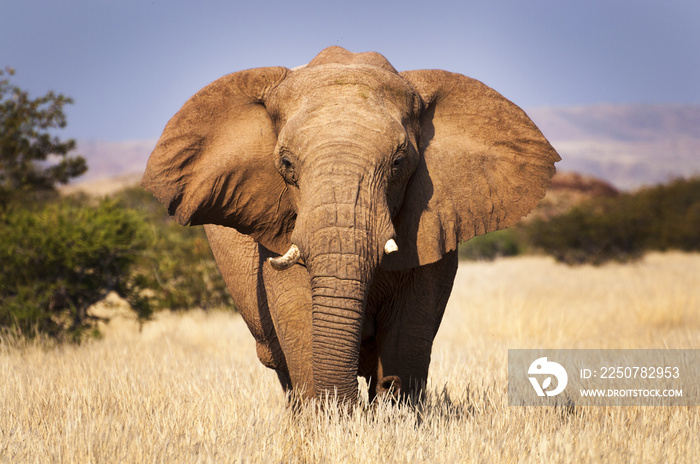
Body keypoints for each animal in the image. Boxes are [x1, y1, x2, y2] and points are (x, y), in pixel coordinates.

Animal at [139, 45, 560, 404]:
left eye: (399, 162)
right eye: (286, 164)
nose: (352, 403)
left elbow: (408, 332)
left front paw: (391, 410)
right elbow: (299, 317)